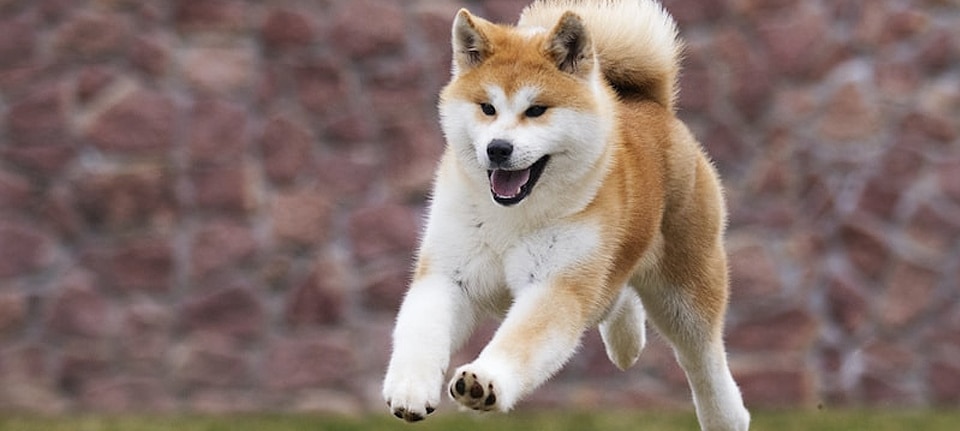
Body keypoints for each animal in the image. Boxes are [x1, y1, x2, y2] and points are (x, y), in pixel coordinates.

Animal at [381, 1, 750, 430]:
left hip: (685, 292)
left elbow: (521, 342)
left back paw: (726, 416)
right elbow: (421, 333)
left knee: (703, 360)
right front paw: (409, 388)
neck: (512, 218)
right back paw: (627, 341)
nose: (498, 148)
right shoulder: (449, 273)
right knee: (618, 294)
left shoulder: (556, 284)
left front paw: (485, 381)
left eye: (536, 110)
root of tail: (651, 105)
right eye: (487, 108)